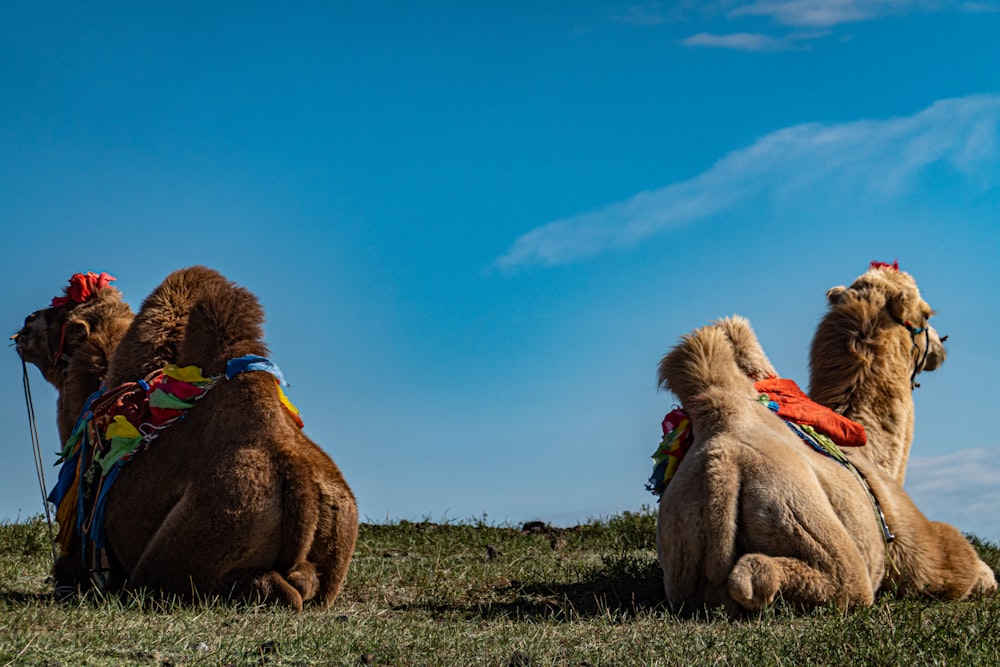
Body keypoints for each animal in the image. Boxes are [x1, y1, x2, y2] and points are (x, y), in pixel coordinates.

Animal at [656, 316, 992, 620]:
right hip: (796, 512)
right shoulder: (913, 544)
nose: (941, 344)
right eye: (925, 316)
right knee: (806, 578)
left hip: (680, 549)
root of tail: (721, 467)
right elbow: (965, 564)